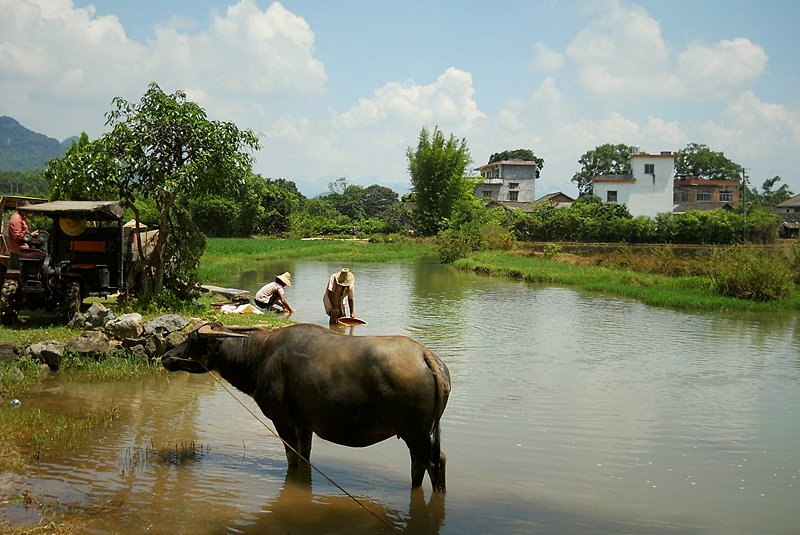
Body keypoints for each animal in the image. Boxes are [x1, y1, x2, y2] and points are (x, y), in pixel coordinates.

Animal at [162, 322, 450, 494]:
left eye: (192, 340)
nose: (166, 356)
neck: (260, 356)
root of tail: (425, 355)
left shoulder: (284, 422)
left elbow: (292, 459)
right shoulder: (304, 425)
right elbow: (305, 457)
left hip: (415, 433)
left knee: (435, 463)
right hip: (419, 434)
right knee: (419, 466)